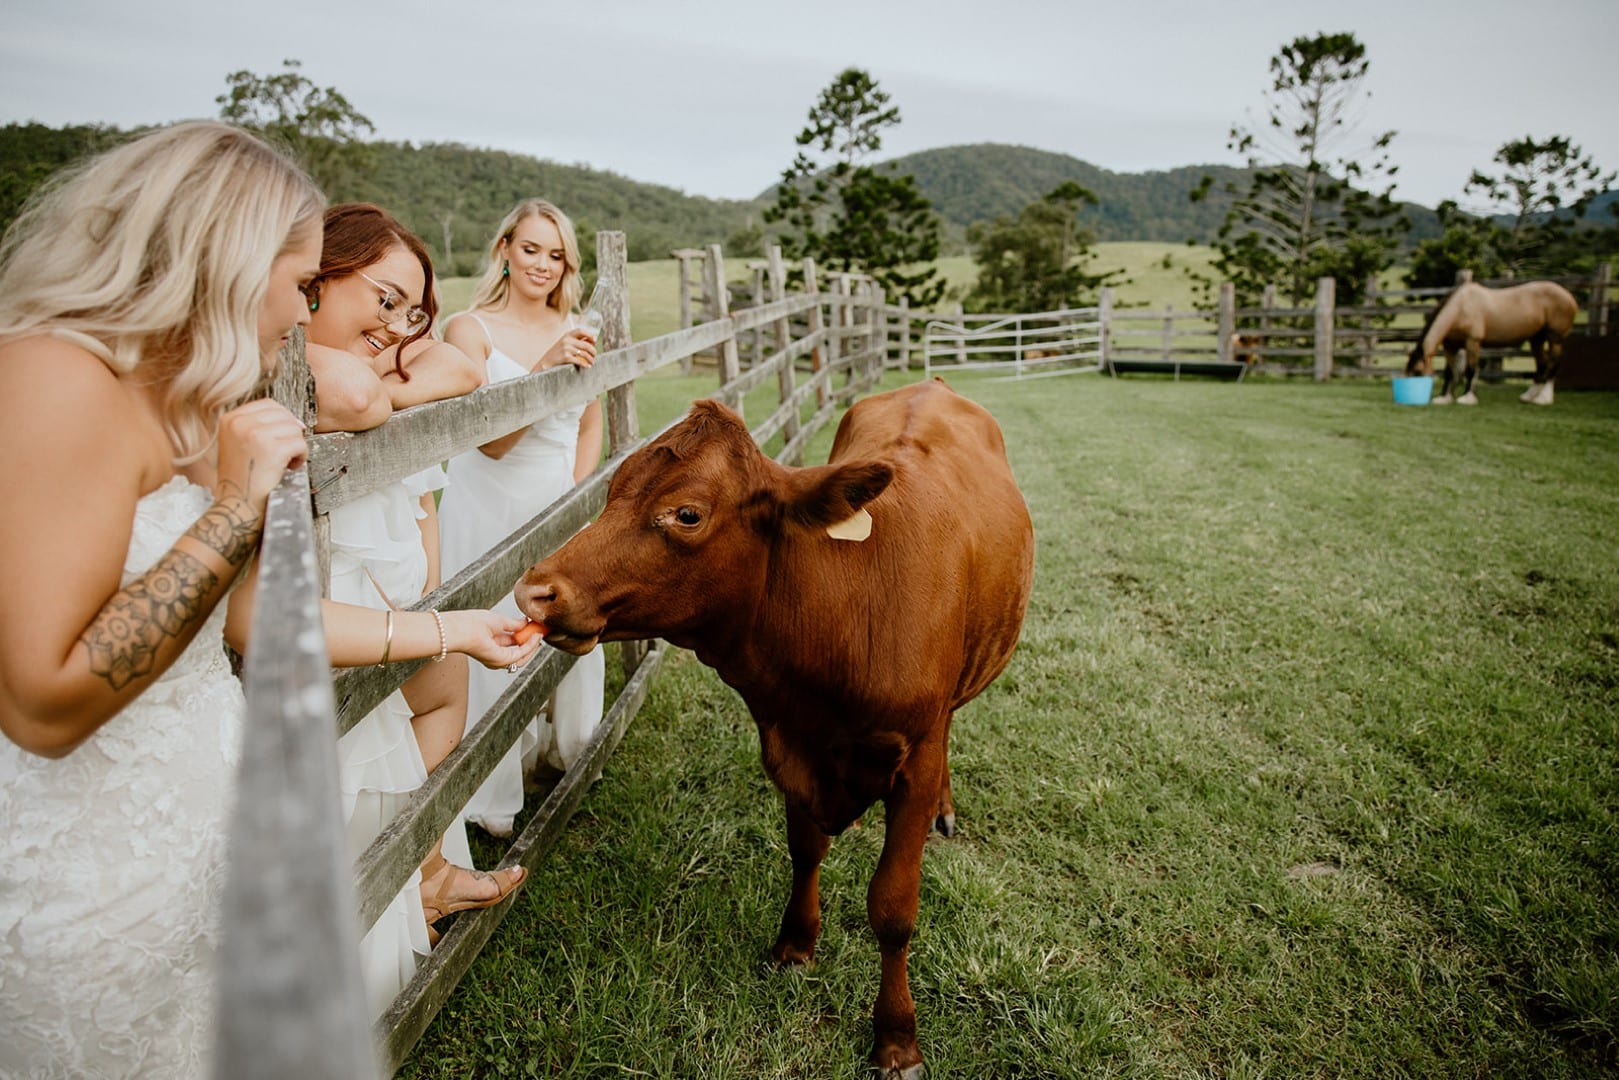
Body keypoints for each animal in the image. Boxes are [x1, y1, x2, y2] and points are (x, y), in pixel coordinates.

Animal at [518, 378, 1036, 1075]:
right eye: (612, 489)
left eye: (686, 514)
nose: (536, 591)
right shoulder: (790, 742)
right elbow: (805, 850)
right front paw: (795, 944)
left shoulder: (916, 757)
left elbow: (893, 907)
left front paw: (897, 1037)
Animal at [1411, 281, 1573, 408]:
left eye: (1417, 372)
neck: (1461, 307)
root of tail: (1569, 297)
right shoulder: (1450, 346)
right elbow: (1451, 372)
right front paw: (1445, 398)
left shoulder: (1473, 342)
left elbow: (1471, 370)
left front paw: (1468, 398)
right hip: (1536, 339)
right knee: (1542, 364)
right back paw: (1528, 397)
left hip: (1555, 340)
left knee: (1553, 364)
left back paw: (1543, 399)